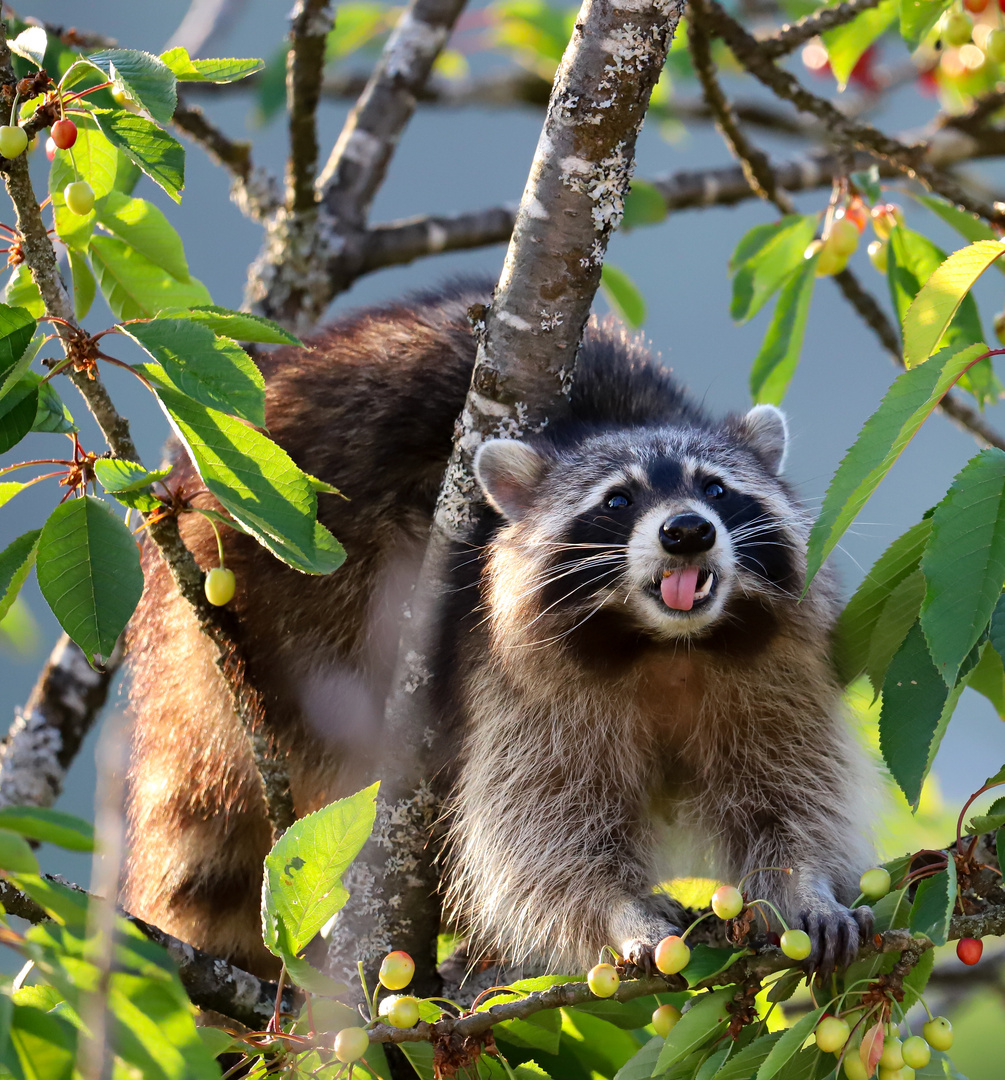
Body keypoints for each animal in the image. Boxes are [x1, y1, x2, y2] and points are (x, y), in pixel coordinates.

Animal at [125, 282, 876, 984]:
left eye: (716, 489)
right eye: (618, 500)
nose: (687, 531)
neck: (664, 644)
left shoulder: (775, 668)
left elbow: (788, 791)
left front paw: (802, 885)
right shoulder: (512, 681)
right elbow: (536, 832)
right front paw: (618, 910)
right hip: (279, 610)